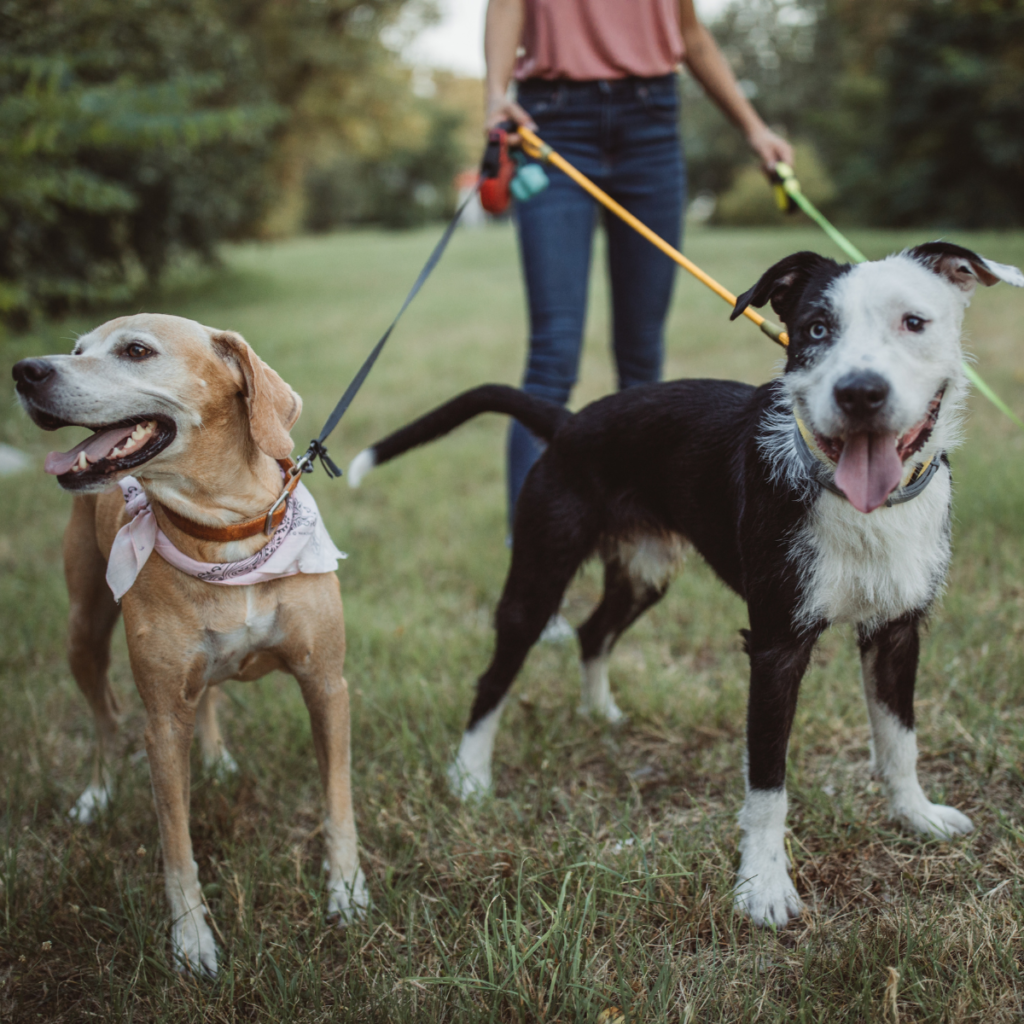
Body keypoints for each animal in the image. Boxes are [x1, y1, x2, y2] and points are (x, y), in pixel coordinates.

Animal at [11, 311, 368, 974]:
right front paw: (192, 939)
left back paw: (218, 758)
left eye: (136, 351)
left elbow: (338, 801)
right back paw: (97, 795)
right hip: (81, 630)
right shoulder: (162, 721)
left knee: (210, 693)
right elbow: (176, 842)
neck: (224, 533)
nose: (25, 371)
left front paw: (349, 891)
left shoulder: (326, 684)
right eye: (79, 348)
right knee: (106, 718)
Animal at [348, 243, 1019, 925]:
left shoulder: (897, 630)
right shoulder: (775, 647)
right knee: (497, 674)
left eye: (914, 322)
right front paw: (763, 886)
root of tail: (568, 422)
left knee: (594, 631)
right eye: (814, 330)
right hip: (538, 576)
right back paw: (469, 776)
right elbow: (768, 782)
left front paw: (915, 817)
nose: (859, 392)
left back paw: (600, 713)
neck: (853, 499)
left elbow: (900, 738)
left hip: (644, 573)